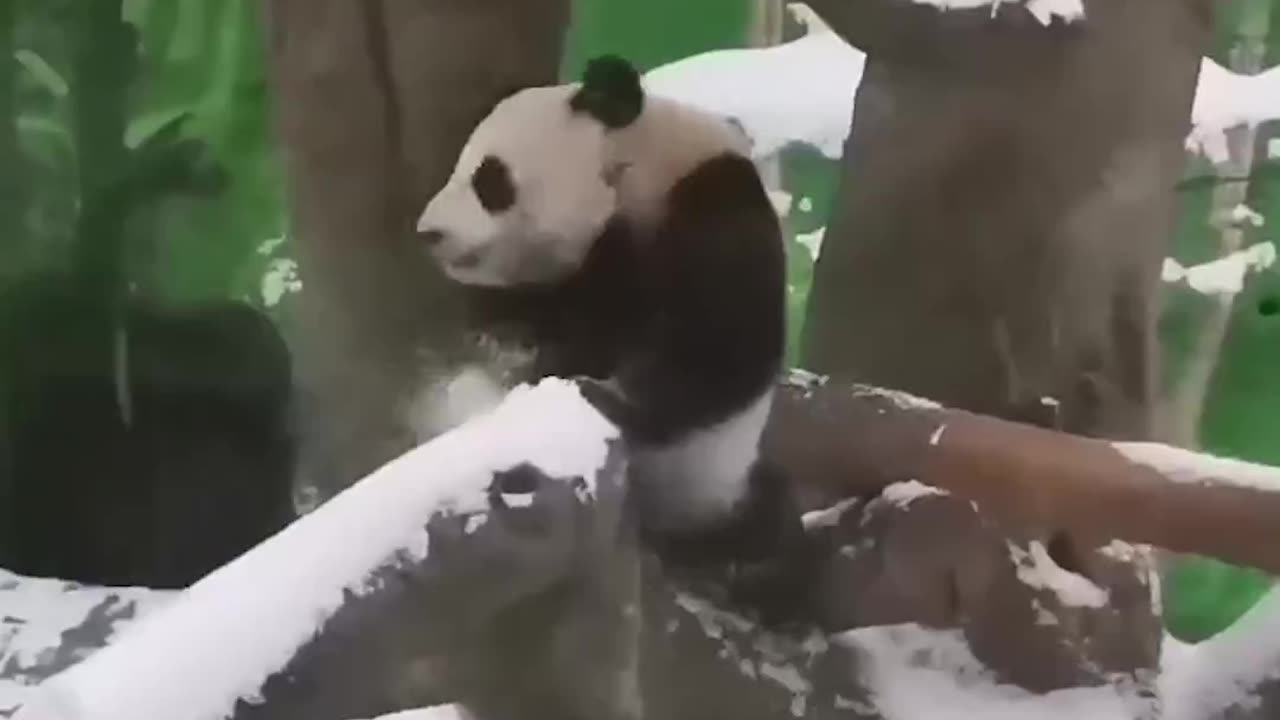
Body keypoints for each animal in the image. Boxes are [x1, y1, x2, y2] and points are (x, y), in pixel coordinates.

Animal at [415, 55, 814, 622]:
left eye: (489, 178)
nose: (429, 232)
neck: (635, 166)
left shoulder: (710, 209)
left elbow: (714, 354)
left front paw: (599, 393)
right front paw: (510, 353)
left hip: (716, 484)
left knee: (771, 525)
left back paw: (755, 572)